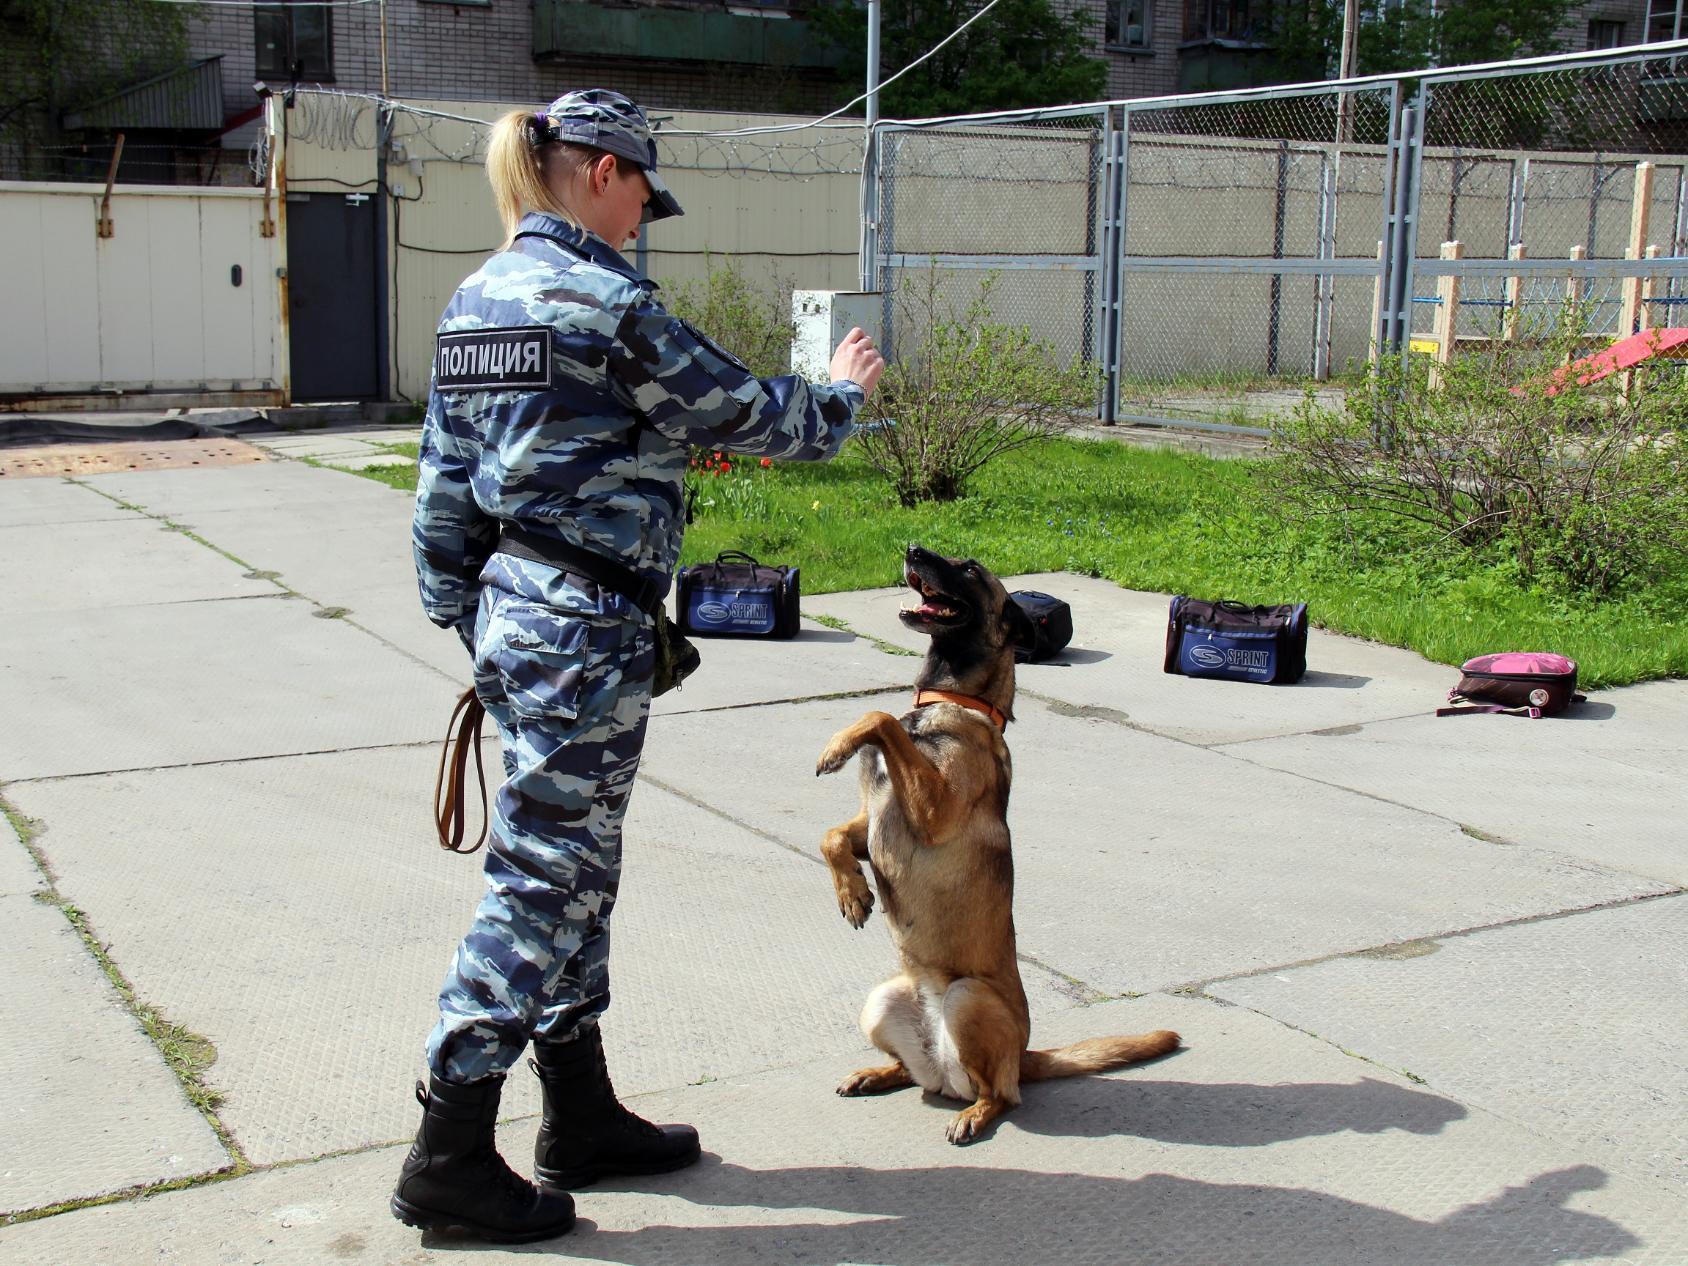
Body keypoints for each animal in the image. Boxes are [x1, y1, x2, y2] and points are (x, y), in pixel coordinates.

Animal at [813, 546, 1174, 1147]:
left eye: (969, 569)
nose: (912, 549)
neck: (950, 699)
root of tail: (1023, 1057)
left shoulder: (932, 812)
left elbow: (879, 718)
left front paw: (838, 744)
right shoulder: (873, 820)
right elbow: (832, 834)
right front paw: (852, 893)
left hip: (967, 999)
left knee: (999, 1094)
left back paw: (974, 1114)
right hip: (880, 1002)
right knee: (913, 1073)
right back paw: (877, 1074)